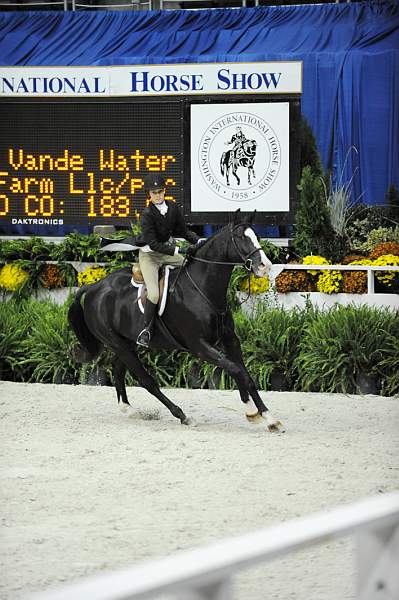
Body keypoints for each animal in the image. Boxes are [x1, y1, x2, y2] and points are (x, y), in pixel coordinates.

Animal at [68, 211, 284, 432]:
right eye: (241, 237)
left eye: (256, 236)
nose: (265, 266)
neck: (202, 289)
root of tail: (94, 287)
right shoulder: (200, 346)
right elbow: (235, 370)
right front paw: (256, 414)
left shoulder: (230, 339)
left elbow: (245, 375)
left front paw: (266, 417)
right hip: (118, 344)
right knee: (147, 381)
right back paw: (182, 416)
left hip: (127, 343)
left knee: (118, 370)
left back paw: (129, 409)